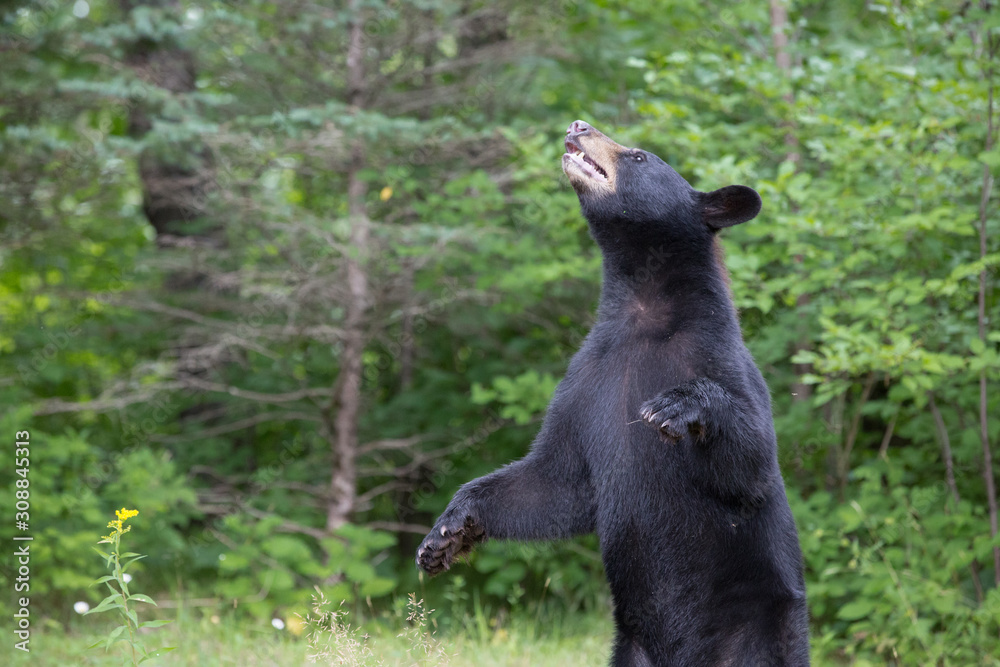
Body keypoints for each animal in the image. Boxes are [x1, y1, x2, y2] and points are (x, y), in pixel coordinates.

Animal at [418, 121, 808, 667]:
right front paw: (447, 532)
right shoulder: (588, 382)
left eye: (640, 156)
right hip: (631, 648)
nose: (578, 126)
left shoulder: (720, 359)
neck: (642, 314)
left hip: (757, 633)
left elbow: (752, 466)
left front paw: (679, 405)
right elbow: (555, 482)